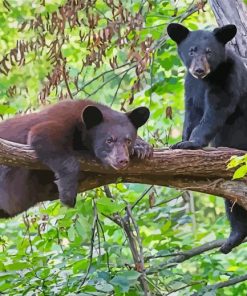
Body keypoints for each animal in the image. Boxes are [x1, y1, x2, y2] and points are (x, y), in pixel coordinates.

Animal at [0, 100, 152, 219]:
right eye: (109, 140)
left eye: (128, 140)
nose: (122, 160)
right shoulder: (60, 121)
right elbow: (42, 135)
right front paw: (68, 192)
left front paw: (141, 147)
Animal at [167, 23, 247, 254]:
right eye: (192, 50)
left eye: (209, 51)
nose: (199, 70)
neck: (208, 78)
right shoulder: (191, 87)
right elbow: (192, 114)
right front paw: (181, 140)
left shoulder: (228, 78)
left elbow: (216, 110)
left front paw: (190, 143)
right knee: (233, 199)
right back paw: (234, 237)